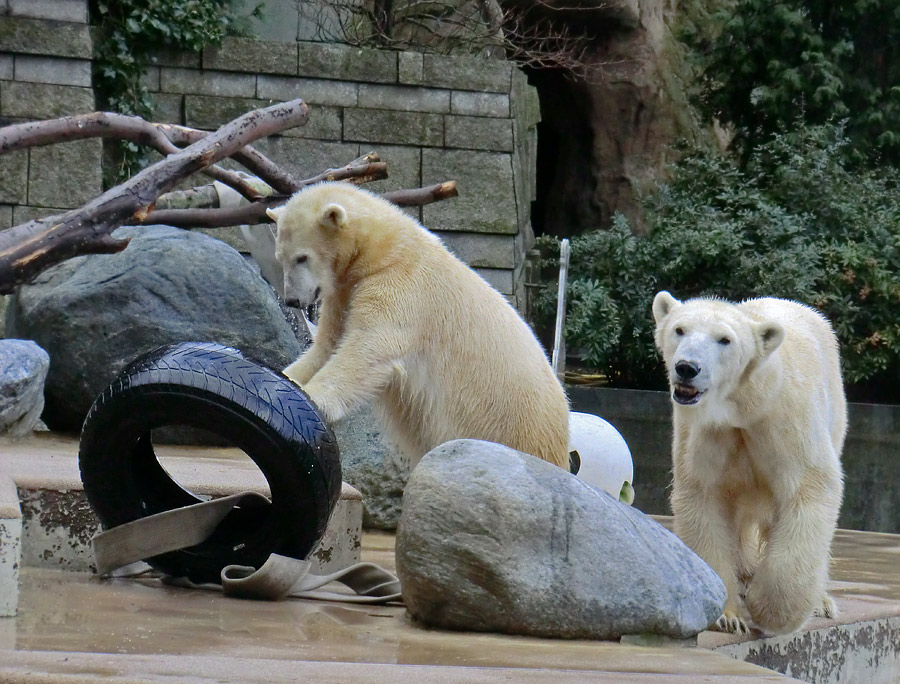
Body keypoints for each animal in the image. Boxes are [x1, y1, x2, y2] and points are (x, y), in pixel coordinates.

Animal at [264, 182, 568, 470]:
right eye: (280, 258)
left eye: (302, 257)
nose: (292, 300)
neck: (386, 249)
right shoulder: (344, 292)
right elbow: (327, 346)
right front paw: (288, 378)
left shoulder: (403, 287)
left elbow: (370, 347)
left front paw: (314, 398)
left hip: (513, 423)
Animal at [652, 292, 848, 632]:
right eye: (679, 329)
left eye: (724, 339)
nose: (687, 367)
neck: (746, 405)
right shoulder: (709, 432)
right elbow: (705, 497)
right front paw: (728, 616)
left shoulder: (786, 420)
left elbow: (809, 488)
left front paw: (770, 610)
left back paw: (820, 601)